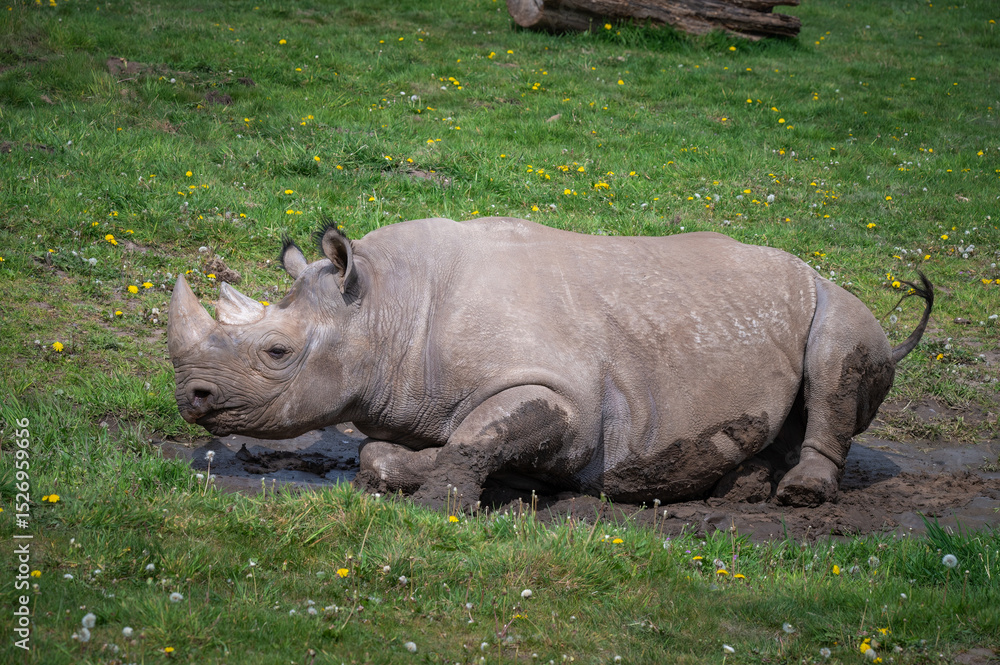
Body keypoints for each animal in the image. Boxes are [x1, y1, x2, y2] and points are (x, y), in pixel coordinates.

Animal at [168, 217, 932, 508]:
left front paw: (445, 503)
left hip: (836, 299)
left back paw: (797, 494)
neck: (385, 304)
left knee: (835, 355)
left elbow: (478, 434)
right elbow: (381, 453)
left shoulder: (564, 397)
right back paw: (739, 484)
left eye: (276, 352)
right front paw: (434, 475)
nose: (191, 397)